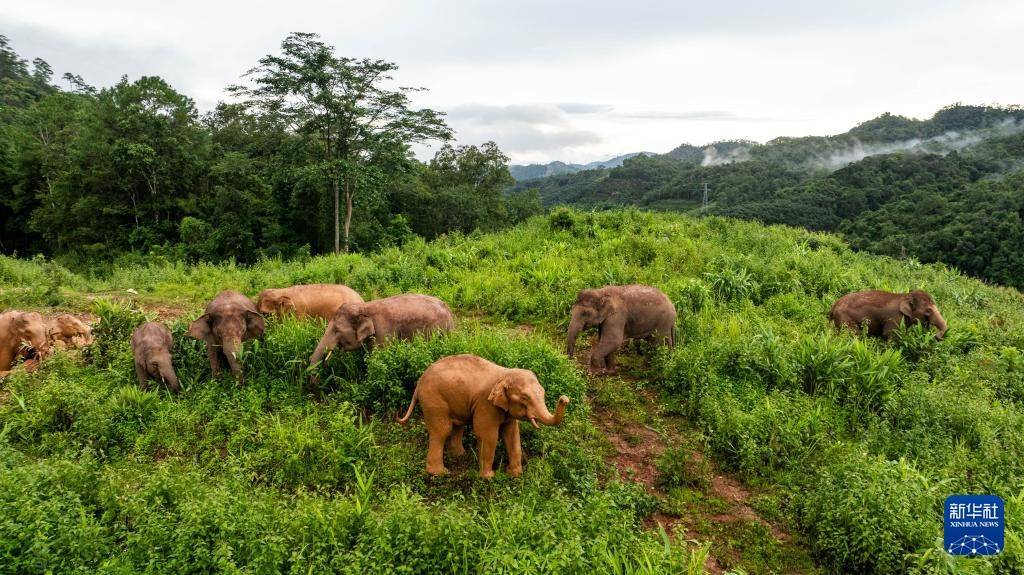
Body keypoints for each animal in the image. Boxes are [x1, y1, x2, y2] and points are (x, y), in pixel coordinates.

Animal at [395, 351, 569, 476]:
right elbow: (487, 434)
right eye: (525, 397)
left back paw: (460, 455)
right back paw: (440, 473)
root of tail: (419, 382)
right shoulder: (485, 404)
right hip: (433, 400)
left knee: (457, 426)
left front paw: (515, 475)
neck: (505, 374)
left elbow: (512, 434)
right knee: (442, 431)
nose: (564, 398)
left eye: (543, 392)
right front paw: (488, 477)